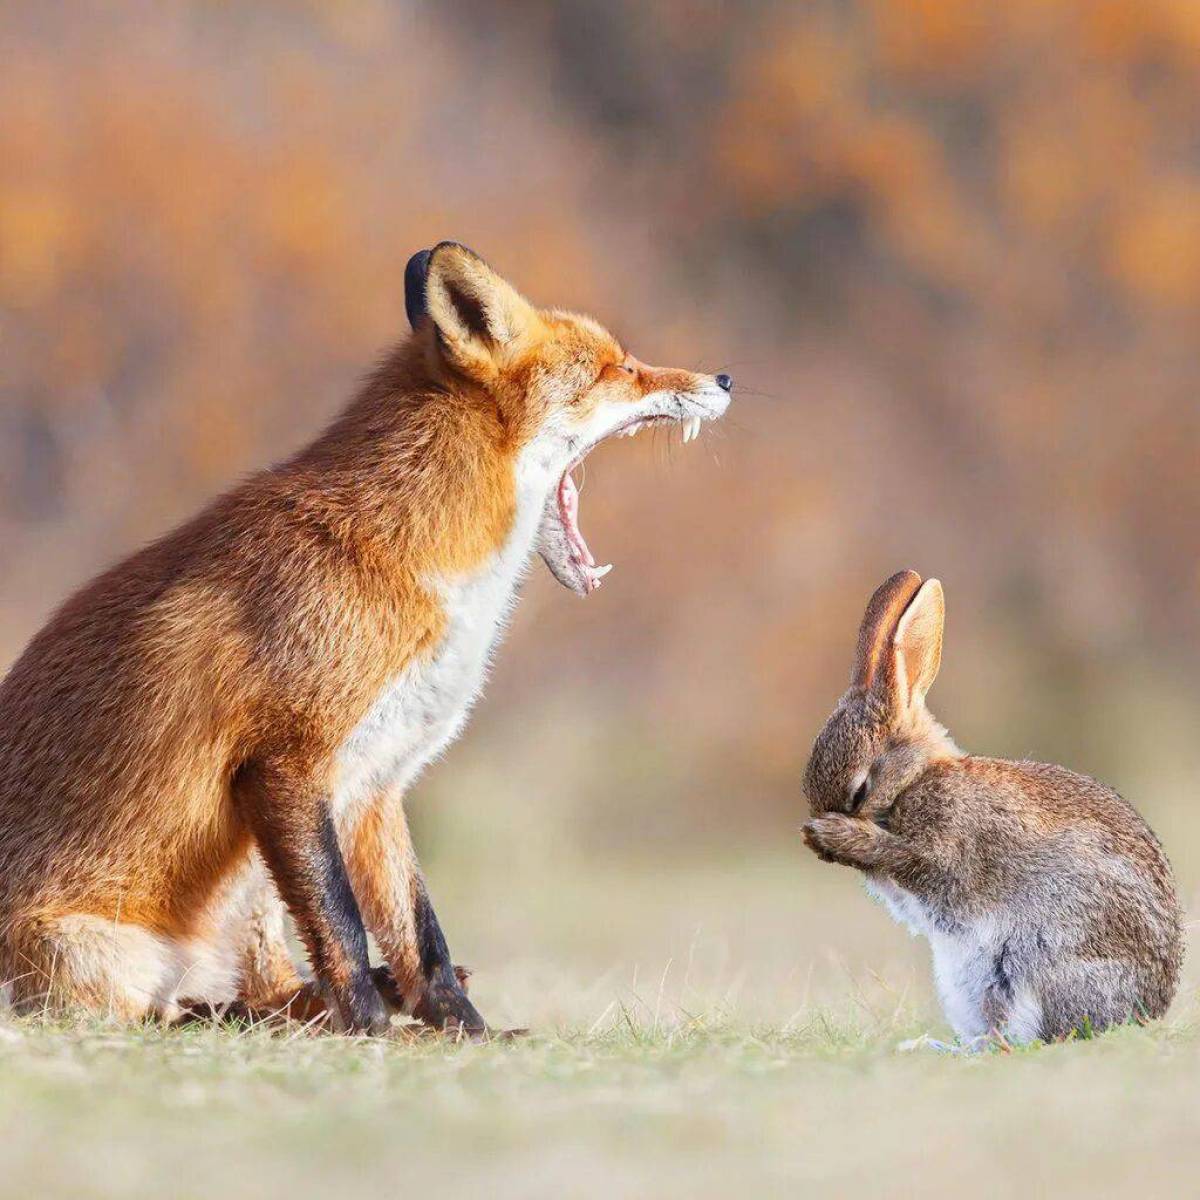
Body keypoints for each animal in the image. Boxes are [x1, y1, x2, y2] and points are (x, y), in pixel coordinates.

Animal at [0, 241, 729, 1032]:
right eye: (616, 367)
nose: (724, 378)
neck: (414, 562)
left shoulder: (378, 780)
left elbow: (420, 933)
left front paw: (465, 1030)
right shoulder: (287, 763)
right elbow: (342, 924)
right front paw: (371, 1030)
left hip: (247, 886)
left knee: (267, 987)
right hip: (103, 950)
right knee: (175, 1009)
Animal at [801, 566, 1185, 1046]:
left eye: (859, 790)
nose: (817, 833)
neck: (915, 778)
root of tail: (1144, 1012)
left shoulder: (947, 847)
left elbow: (911, 859)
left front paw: (835, 835)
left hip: (1033, 961)